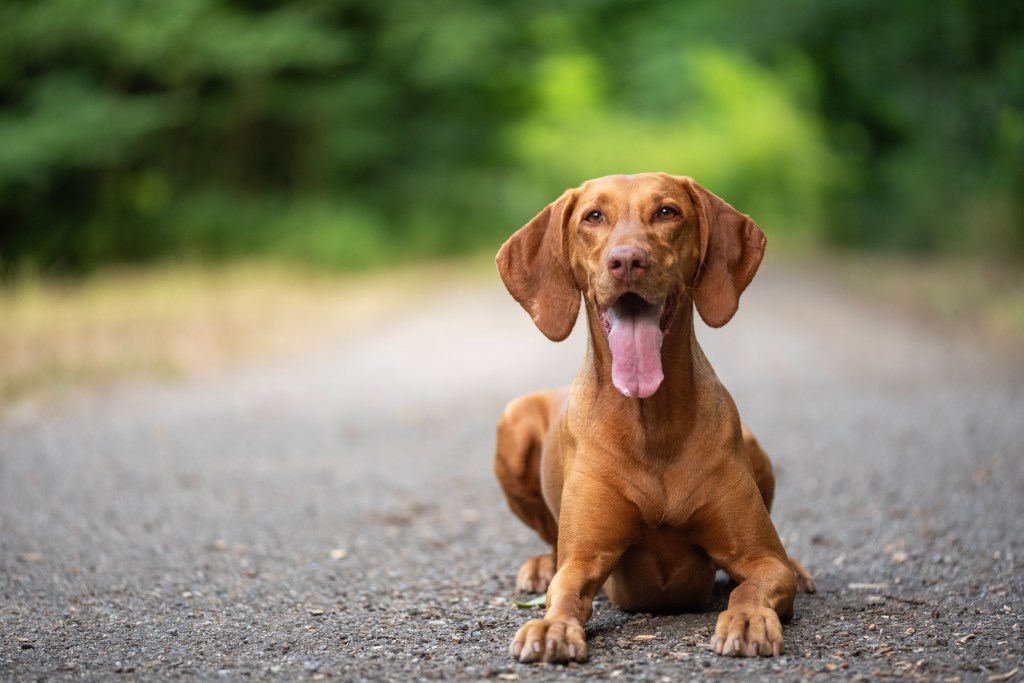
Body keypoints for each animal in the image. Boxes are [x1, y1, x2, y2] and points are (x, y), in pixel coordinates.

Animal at [491, 171, 811, 663]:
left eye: (666, 212)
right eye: (593, 216)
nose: (627, 261)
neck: (651, 420)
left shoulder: (760, 559)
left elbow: (754, 583)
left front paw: (748, 618)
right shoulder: (585, 557)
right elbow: (565, 590)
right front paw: (551, 626)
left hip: (754, 445)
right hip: (514, 422)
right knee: (550, 542)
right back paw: (541, 565)